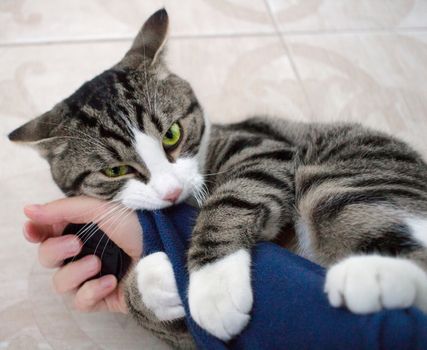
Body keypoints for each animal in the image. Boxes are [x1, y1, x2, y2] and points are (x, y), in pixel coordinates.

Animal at [7, 8, 427, 350]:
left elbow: (232, 198)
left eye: (172, 134)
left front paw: (213, 286)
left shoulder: (263, 147)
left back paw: (368, 275)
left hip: (337, 180)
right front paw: (153, 284)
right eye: (115, 170)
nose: (171, 190)